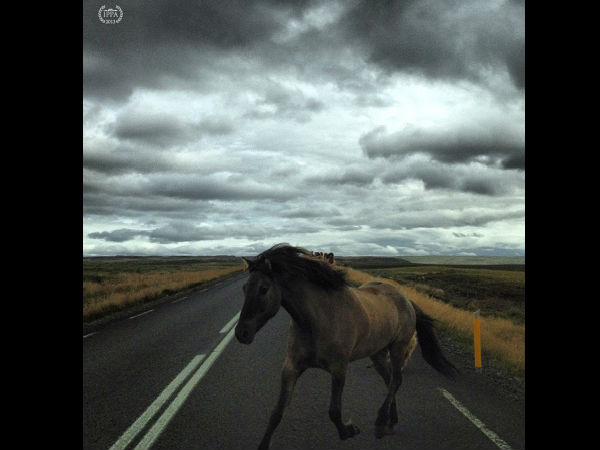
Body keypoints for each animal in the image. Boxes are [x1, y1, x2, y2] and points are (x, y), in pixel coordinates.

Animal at [237, 244, 458, 448]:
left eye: (264, 289)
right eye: (244, 287)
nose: (241, 334)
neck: (319, 319)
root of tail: (406, 299)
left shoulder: (339, 369)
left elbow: (334, 411)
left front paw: (350, 430)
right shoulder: (291, 367)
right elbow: (277, 412)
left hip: (398, 348)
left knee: (396, 381)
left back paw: (380, 424)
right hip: (378, 354)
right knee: (390, 381)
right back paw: (390, 421)